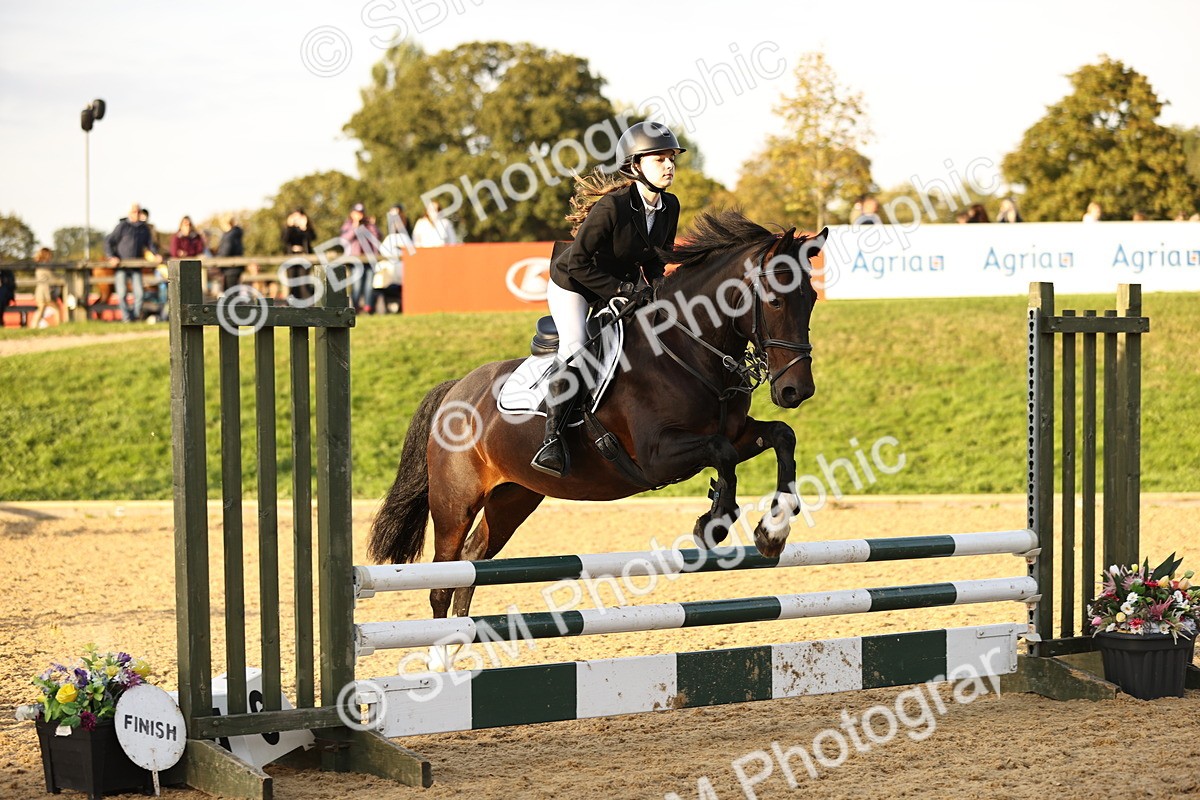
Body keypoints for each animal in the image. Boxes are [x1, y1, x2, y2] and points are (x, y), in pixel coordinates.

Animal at [369, 210, 827, 625]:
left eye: (811, 300)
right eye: (775, 300)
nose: (796, 391)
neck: (687, 350)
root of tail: (456, 389)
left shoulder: (737, 433)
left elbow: (782, 436)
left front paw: (772, 533)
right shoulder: (657, 456)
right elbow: (723, 455)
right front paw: (713, 524)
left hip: (513, 497)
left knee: (472, 561)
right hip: (455, 504)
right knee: (443, 579)